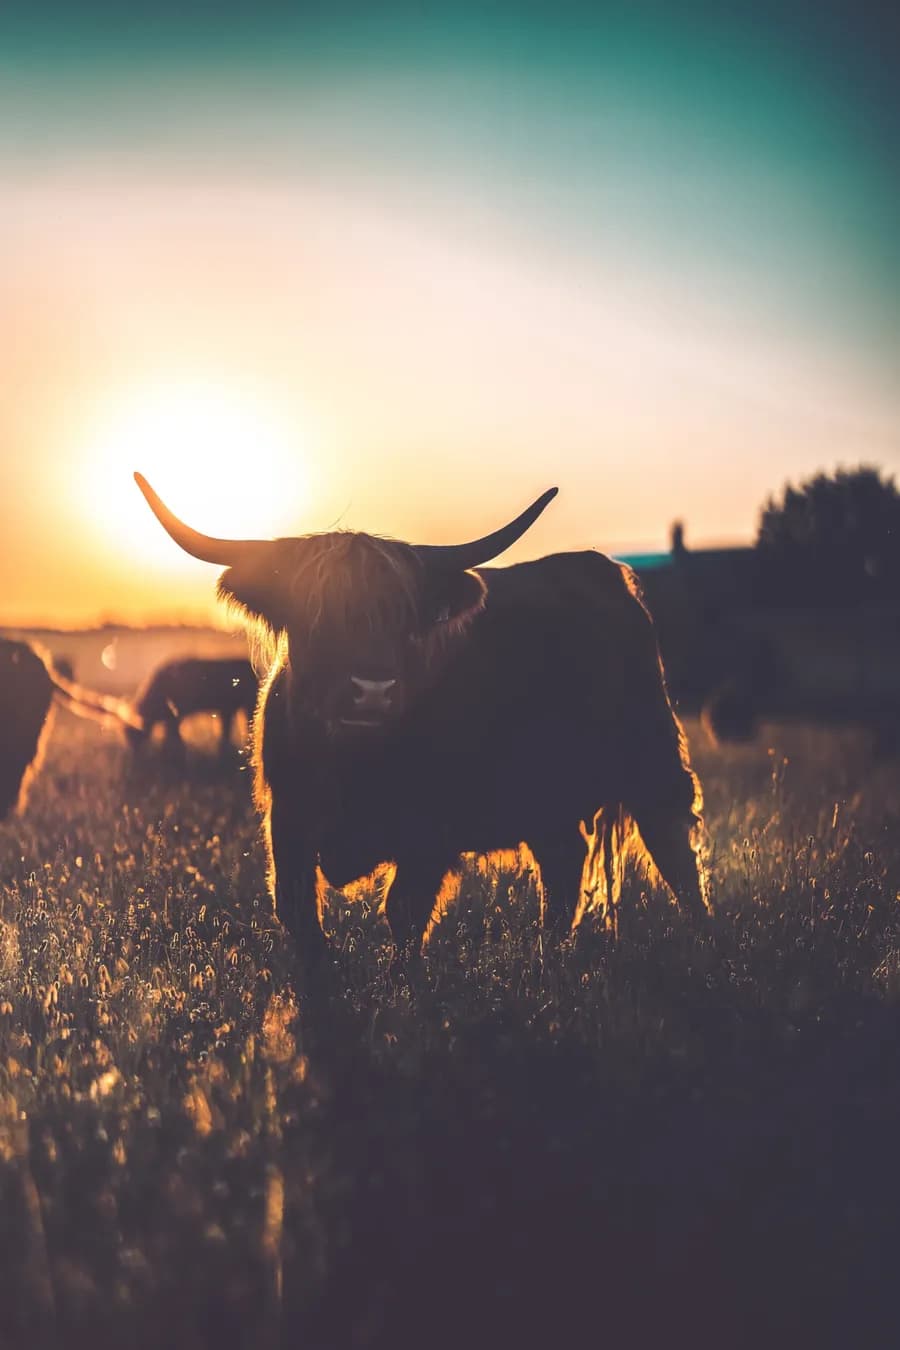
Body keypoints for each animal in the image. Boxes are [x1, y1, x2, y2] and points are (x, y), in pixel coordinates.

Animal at [125, 656, 258, 757]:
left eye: (133, 733)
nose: (134, 753)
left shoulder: (176, 715)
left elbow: (174, 736)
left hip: (247, 706)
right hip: (228, 710)